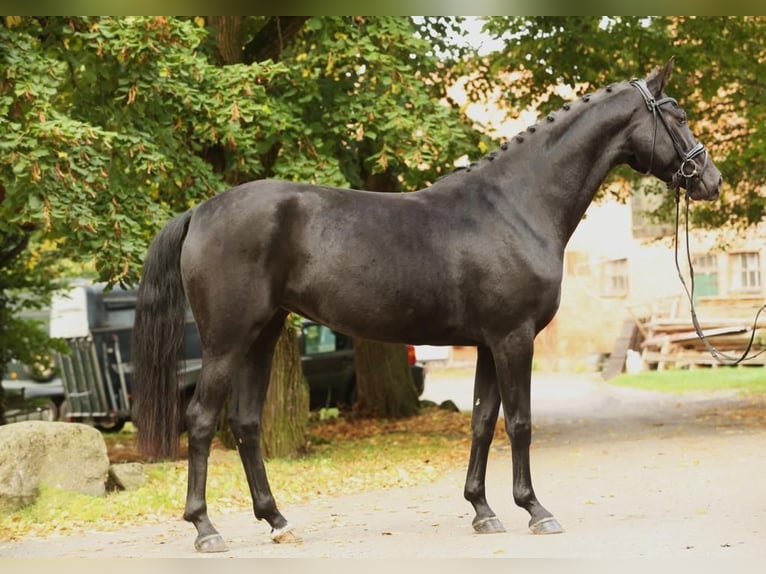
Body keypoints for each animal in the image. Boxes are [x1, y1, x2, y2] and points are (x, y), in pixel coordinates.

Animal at [134, 58, 728, 552]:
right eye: (677, 115)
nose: (711, 180)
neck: (516, 206)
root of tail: (201, 211)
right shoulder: (514, 339)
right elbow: (520, 422)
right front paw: (535, 510)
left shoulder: (489, 343)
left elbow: (484, 421)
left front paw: (483, 510)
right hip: (227, 340)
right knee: (202, 420)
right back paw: (205, 528)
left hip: (263, 334)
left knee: (247, 423)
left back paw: (277, 521)